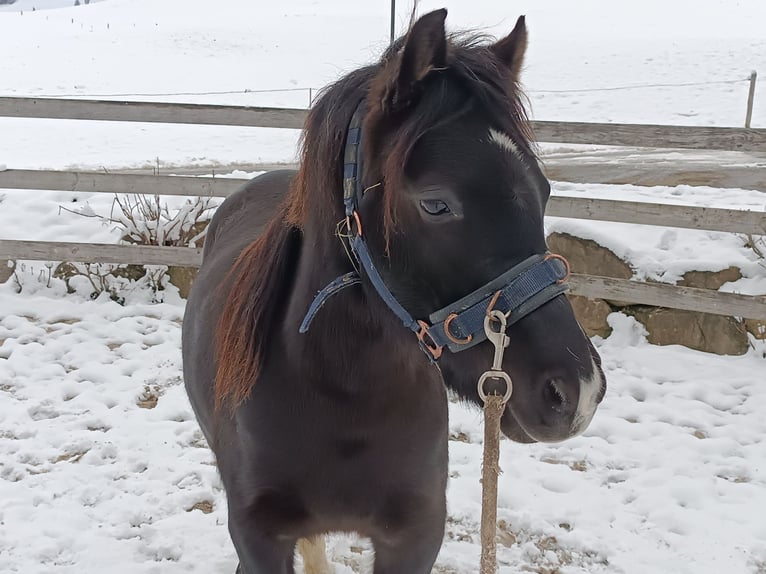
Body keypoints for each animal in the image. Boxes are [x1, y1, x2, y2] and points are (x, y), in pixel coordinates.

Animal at [183, 10, 608, 574]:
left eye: (544, 191)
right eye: (435, 204)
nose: (577, 390)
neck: (342, 401)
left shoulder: (415, 537)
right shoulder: (257, 540)